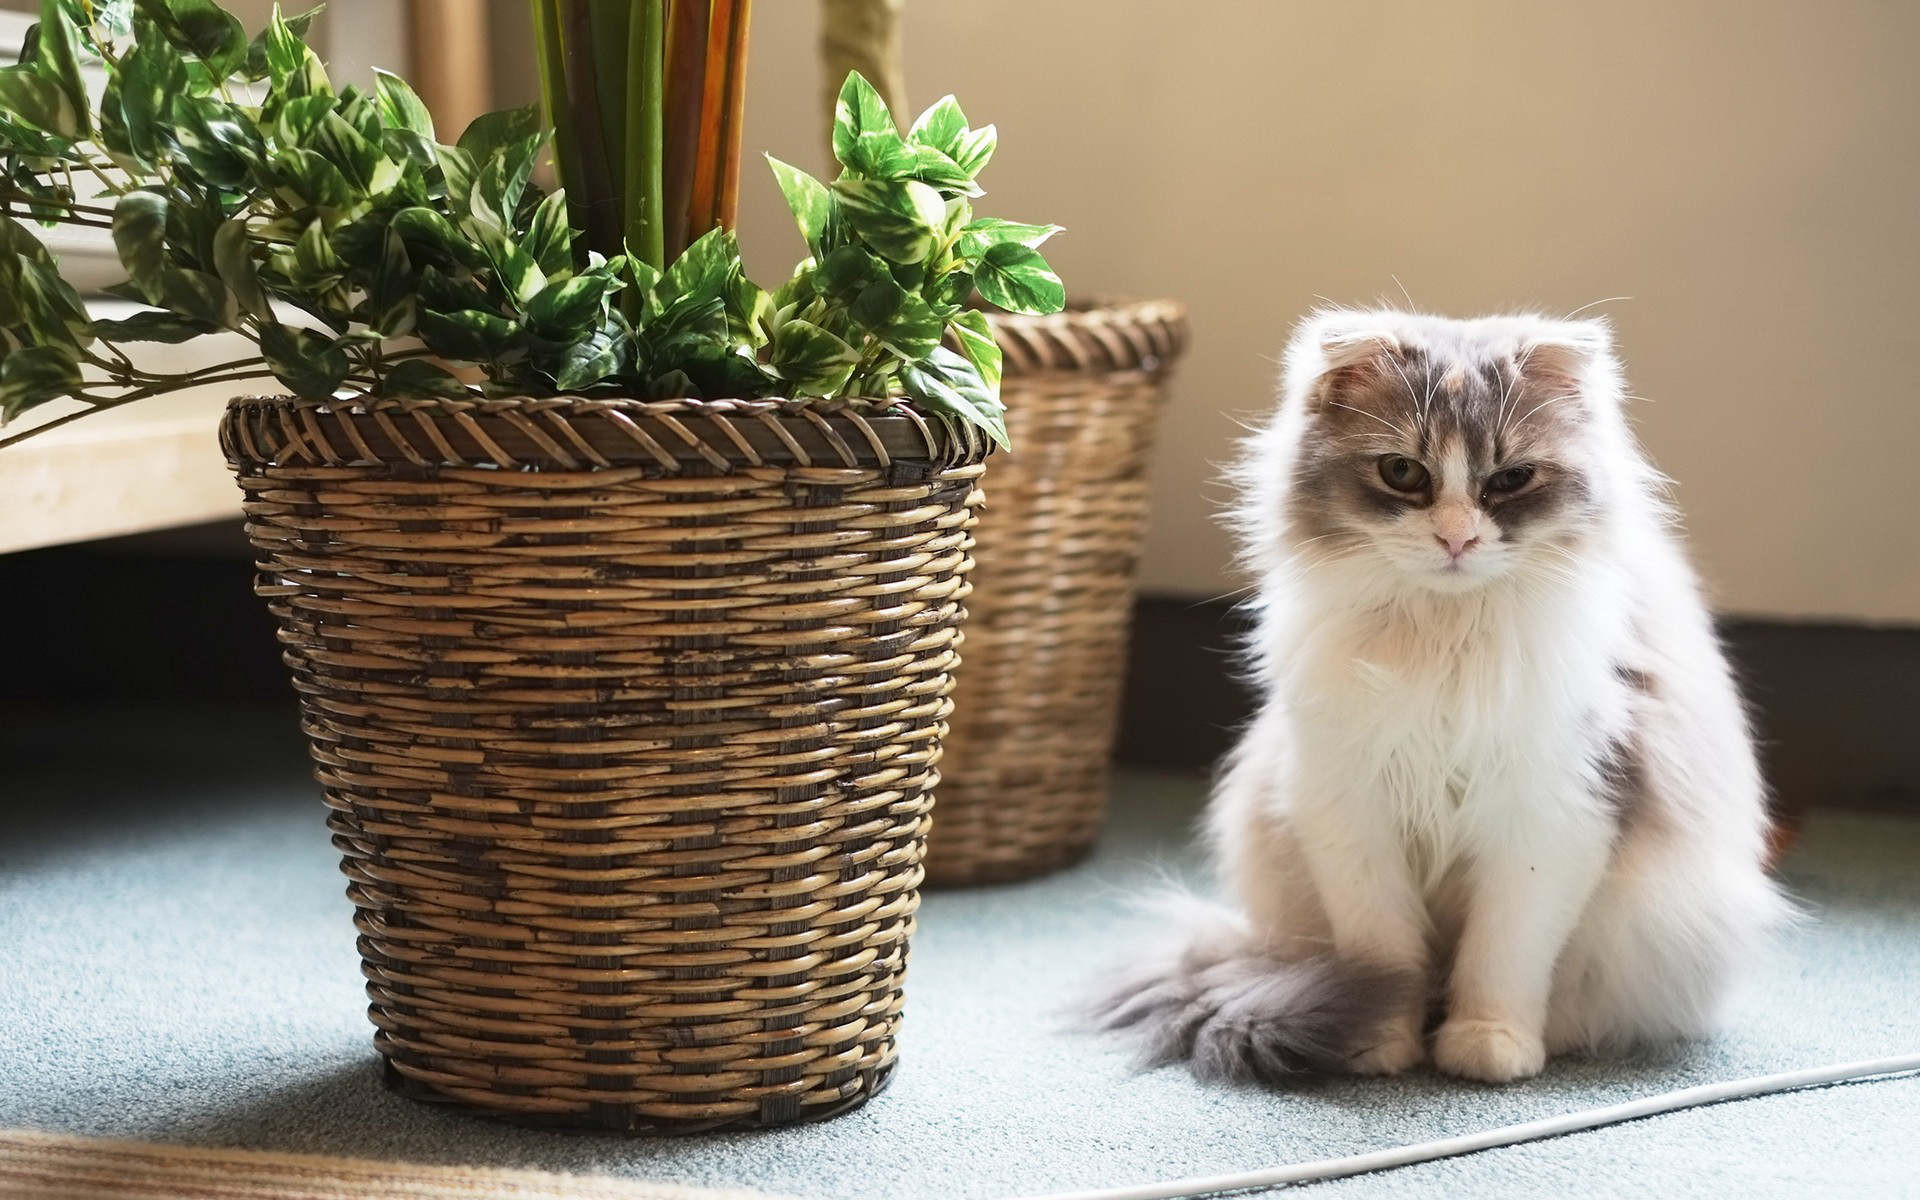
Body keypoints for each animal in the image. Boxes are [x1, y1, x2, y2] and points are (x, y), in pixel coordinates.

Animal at [1090, 303, 1789, 1082]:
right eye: (1402, 472)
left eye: (1512, 479)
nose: (1457, 540)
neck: (1444, 641)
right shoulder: (1349, 811)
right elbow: (1387, 957)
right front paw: (1382, 1040)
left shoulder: (1549, 817)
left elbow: (1505, 954)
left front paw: (1489, 1045)